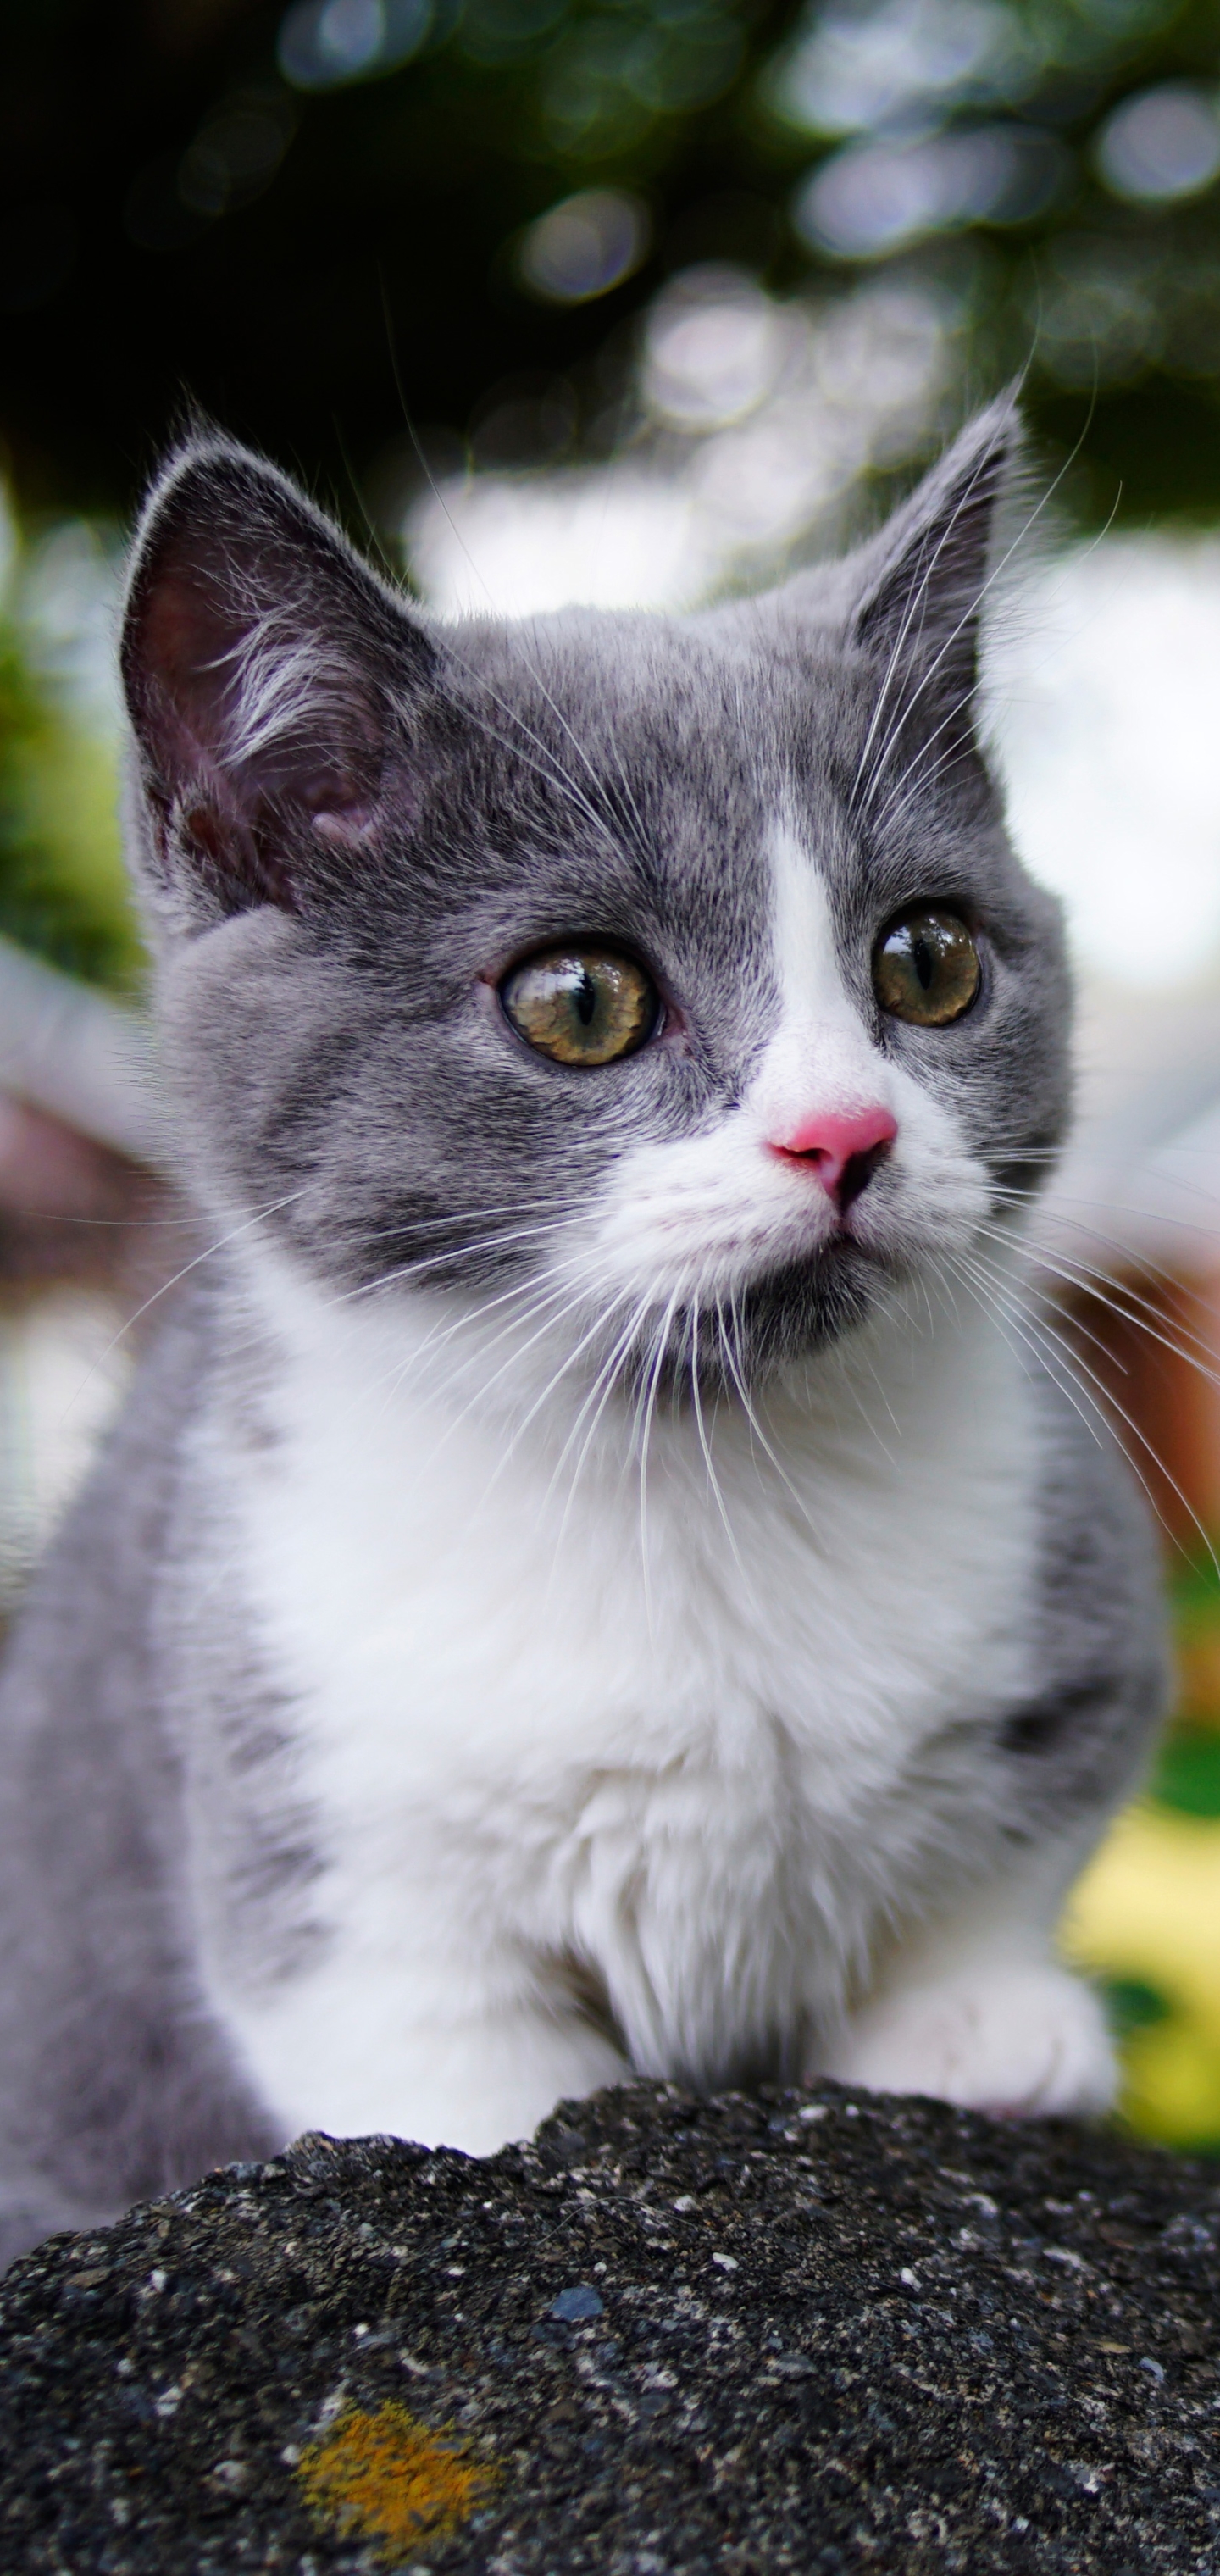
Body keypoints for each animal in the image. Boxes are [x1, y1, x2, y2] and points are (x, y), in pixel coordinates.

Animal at [0, 391, 1168, 2267]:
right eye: (580, 1001)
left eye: (927, 960)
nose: (846, 1132)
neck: (706, 1483)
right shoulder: (293, 1769)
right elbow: (428, 2049)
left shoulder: (1085, 1607)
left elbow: (1001, 1865)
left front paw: (974, 2017)